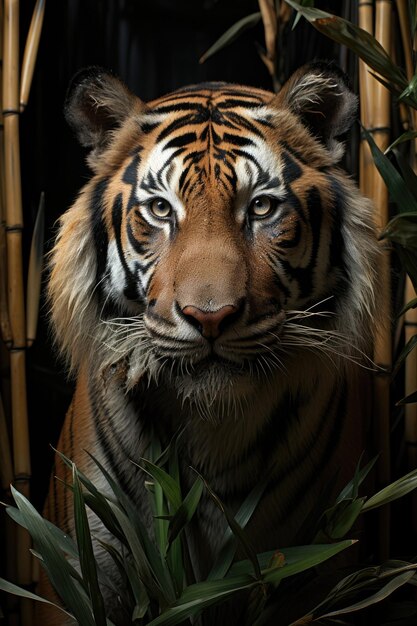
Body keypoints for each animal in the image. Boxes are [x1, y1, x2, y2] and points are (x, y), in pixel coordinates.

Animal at [40, 61, 378, 620]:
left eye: (261, 208)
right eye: (160, 209)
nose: (210, 317)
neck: (214, 434)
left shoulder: (328, 562)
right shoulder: (82, 569)